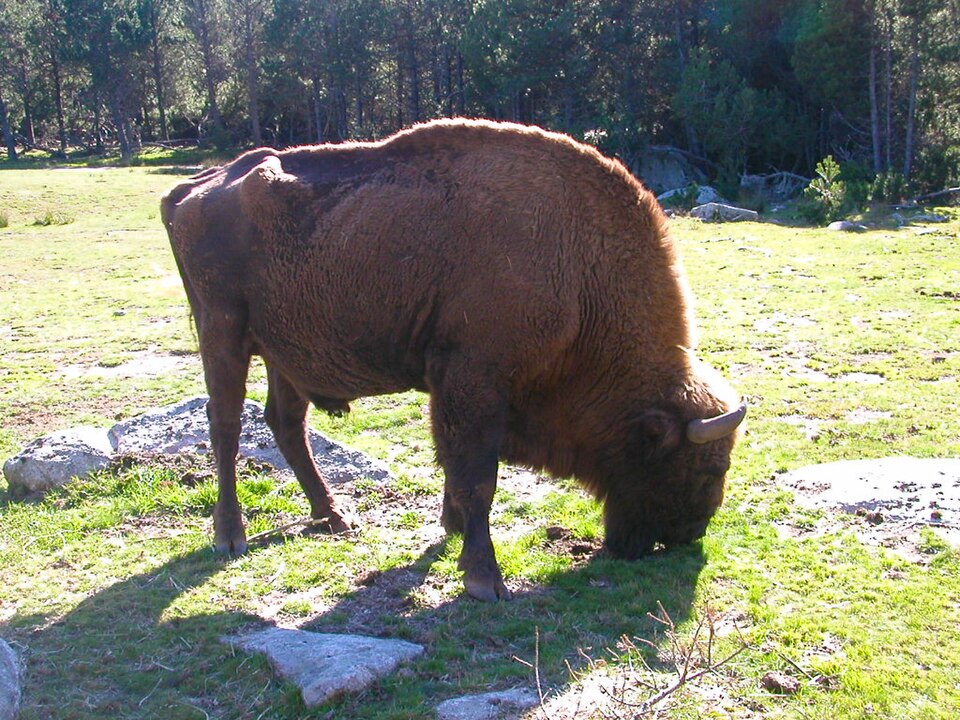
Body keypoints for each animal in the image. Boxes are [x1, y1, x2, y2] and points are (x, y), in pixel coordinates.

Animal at [161, 119, 745, 601]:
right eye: (705, 467)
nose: (687, 537)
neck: (582, 276)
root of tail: (193, 188)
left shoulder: (452, 387)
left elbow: (453, 464)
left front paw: (453, 527)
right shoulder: (476, 382)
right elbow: (478, 477)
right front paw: (486, 580)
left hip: (287, 353)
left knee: (286, 423)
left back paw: (334, 517)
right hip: (223, 333)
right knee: (226, 423)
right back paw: (231, 536)